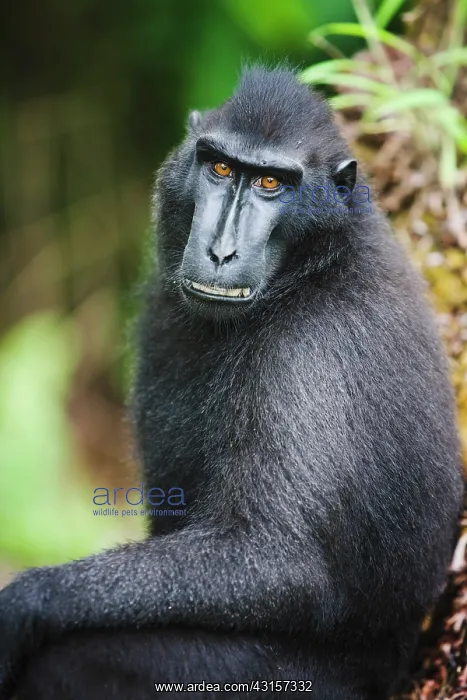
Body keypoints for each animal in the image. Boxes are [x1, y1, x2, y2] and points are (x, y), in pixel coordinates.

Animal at [0, 65, 463, 700]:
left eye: (271, 182)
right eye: (220, 168)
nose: (220, 251)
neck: (312, 268)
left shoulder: (308, 353)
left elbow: (276, 562)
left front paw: (25, 603)